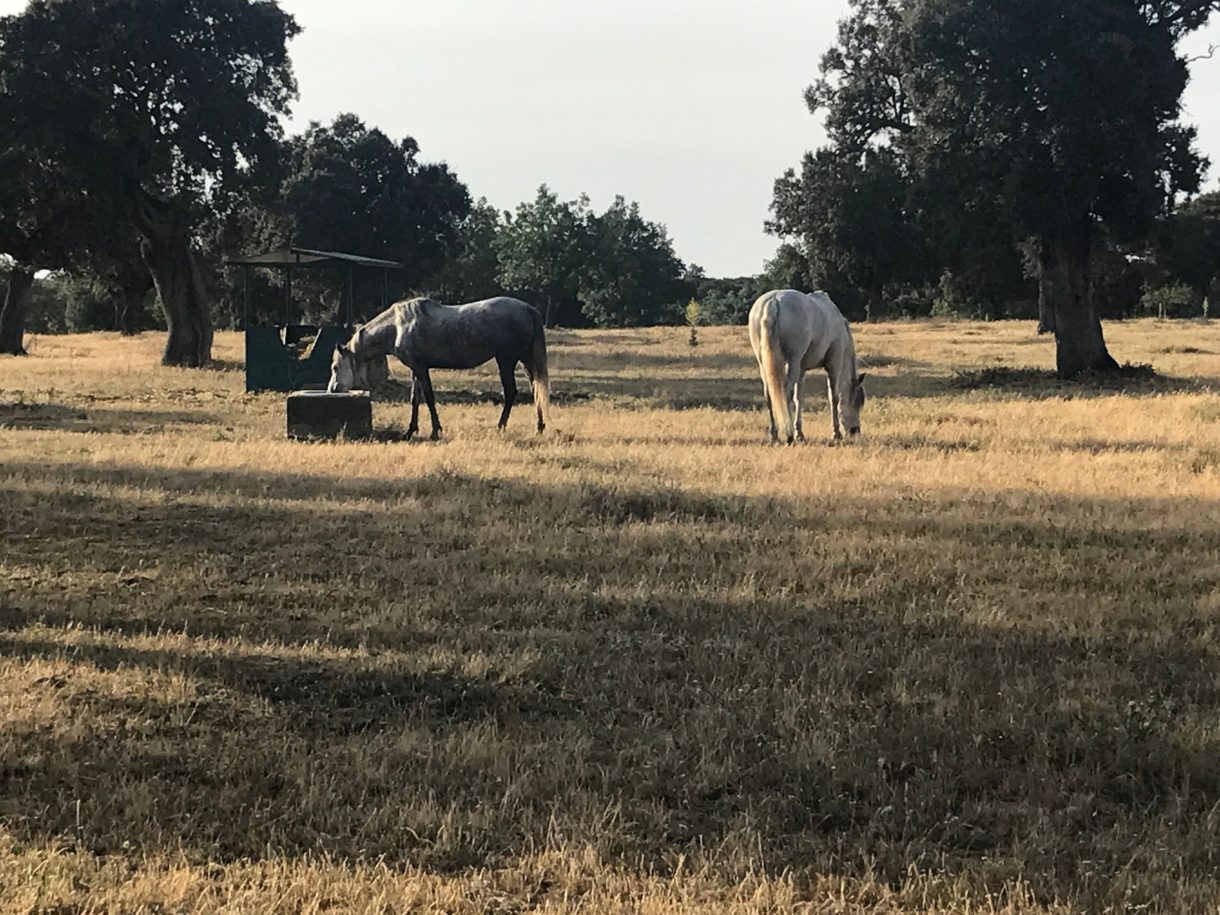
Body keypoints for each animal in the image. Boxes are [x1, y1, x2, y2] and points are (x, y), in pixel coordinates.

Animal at [326, 294, 551, 436]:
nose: (332, 389)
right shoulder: (415, 369)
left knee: (511, 392)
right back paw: (539, 427)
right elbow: (415, 399)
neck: (398, 327)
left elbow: (429, 397)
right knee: (536, 390)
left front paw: (435, 431)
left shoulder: (421, 368)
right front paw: (410, 431)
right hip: (525, 360)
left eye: (335, 367)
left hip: (506, 360)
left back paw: (500, 426)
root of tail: (527, 308)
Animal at [741, 286, 868, 444]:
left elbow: (799, 399)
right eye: (857, 402)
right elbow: (833, 397)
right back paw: (788, 436)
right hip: (793, 362)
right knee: (785, 392)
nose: (855, 431)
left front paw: (800, 433)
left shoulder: (801, 370)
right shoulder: (834, 364)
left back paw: (775, 436)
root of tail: (773, 301)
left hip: (764, 364)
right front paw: (836, 433)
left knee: (770, 394)